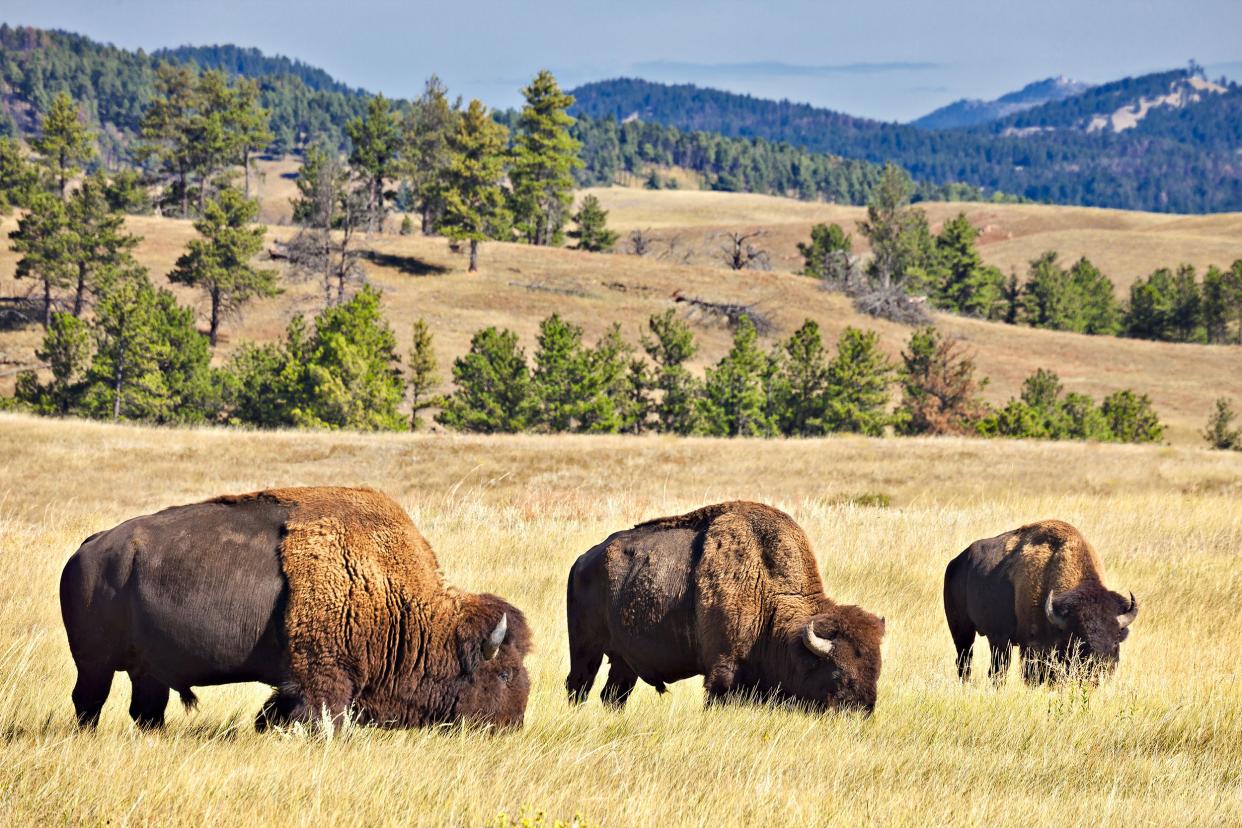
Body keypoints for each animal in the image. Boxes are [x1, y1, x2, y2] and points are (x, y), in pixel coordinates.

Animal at [59, 489, 534, 729]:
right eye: (505, 674)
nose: (512, 725)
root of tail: (88, 548)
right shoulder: (324, 678)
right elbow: (323, 717)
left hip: (147, 670)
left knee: (146, 710)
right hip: (94, 663)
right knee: (89, 703)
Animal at [563, 501, 884, 715]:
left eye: (876, 671)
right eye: (839, 674)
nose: (862, 713)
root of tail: (582, 560)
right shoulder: (722, 669)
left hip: (623, 659)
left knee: (613, 694)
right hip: (585, 648)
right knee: (578, 686)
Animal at [943, 518, 1137, 685]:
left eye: (1115, 643)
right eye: (1080, 643)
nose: (1100, 670)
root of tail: (956, 563)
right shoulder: (1032, 647)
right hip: (964, 630)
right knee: (969, 662)